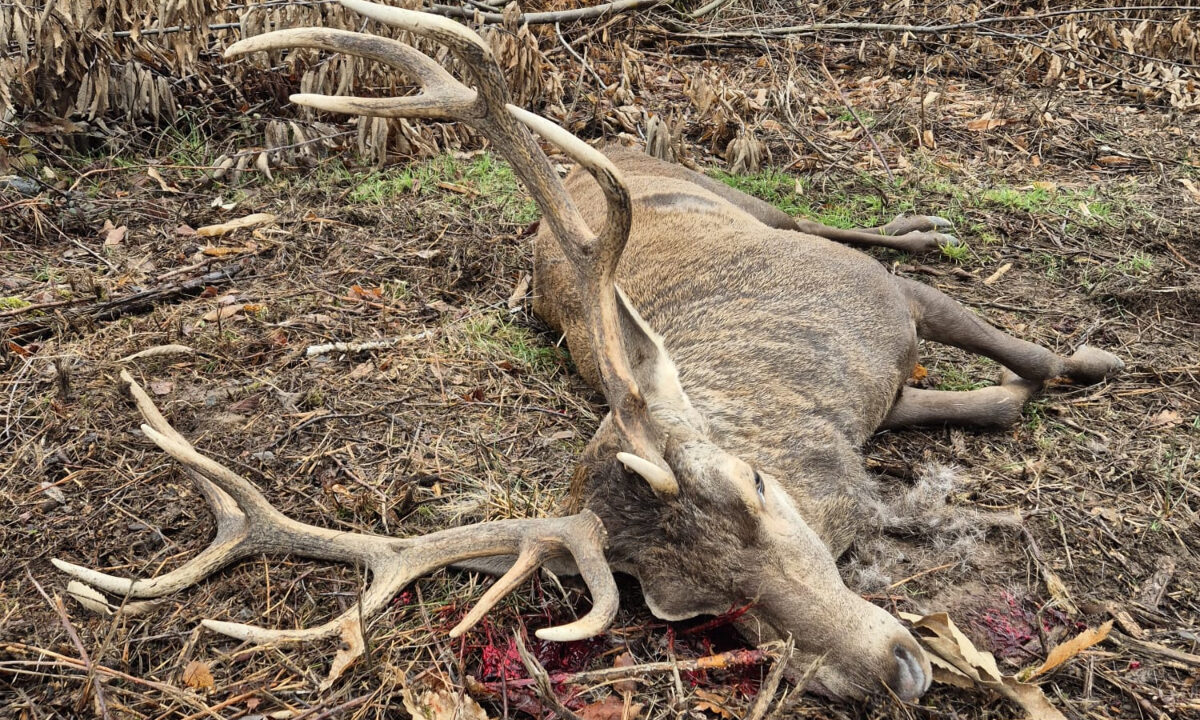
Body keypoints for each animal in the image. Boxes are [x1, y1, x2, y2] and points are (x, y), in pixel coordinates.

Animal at [53, 0, 1125, 704]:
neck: (817, 419)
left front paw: (1096, 361)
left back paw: (929, 226)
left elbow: (1024, 358)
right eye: (688, 610)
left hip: (750, 202)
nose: (898, 670)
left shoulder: (886, 308)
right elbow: (995, 400)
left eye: (755, 493)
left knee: (833, 223)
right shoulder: (887, 396)